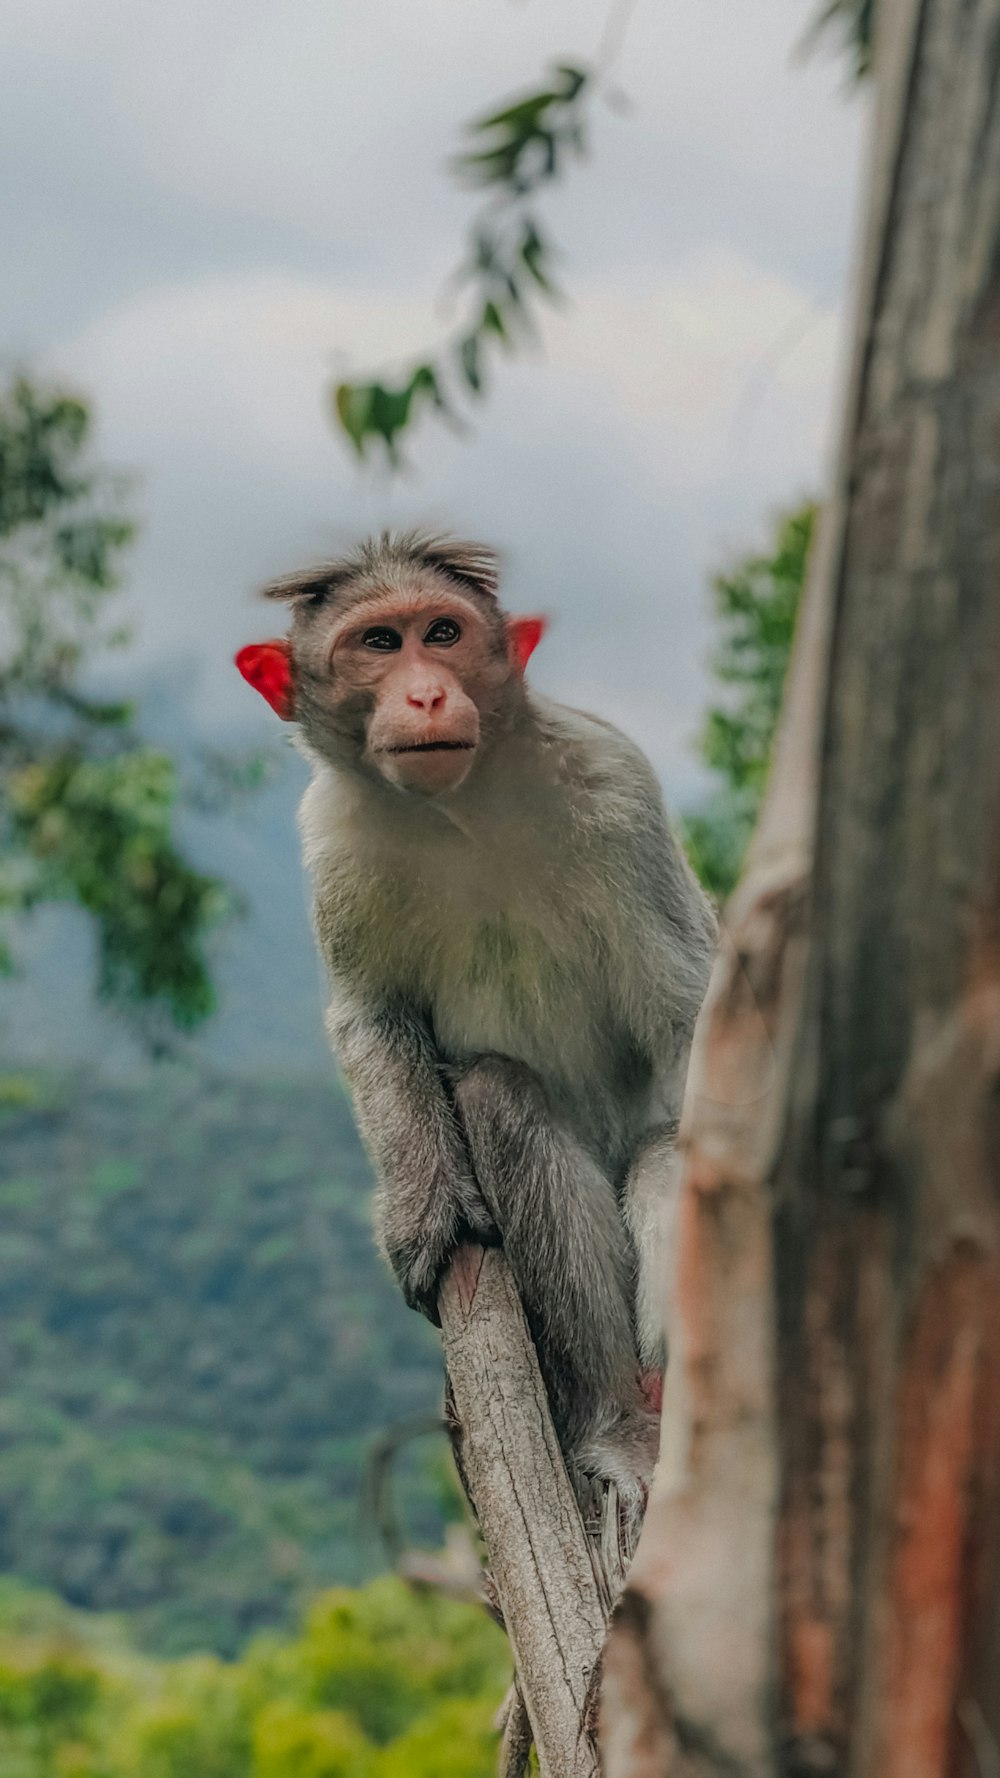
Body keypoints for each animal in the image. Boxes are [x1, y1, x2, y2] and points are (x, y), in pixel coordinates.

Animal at [234, 533, 715, 1493]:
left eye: (444, 633)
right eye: (380, 642)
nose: (425, 692)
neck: (464, 807)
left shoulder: (617, 788)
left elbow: (687, 1012)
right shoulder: (336, 841)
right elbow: (373, 1016)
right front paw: (428, 1215)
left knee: (662, 1148)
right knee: (496, 1094)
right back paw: (613, 1412)